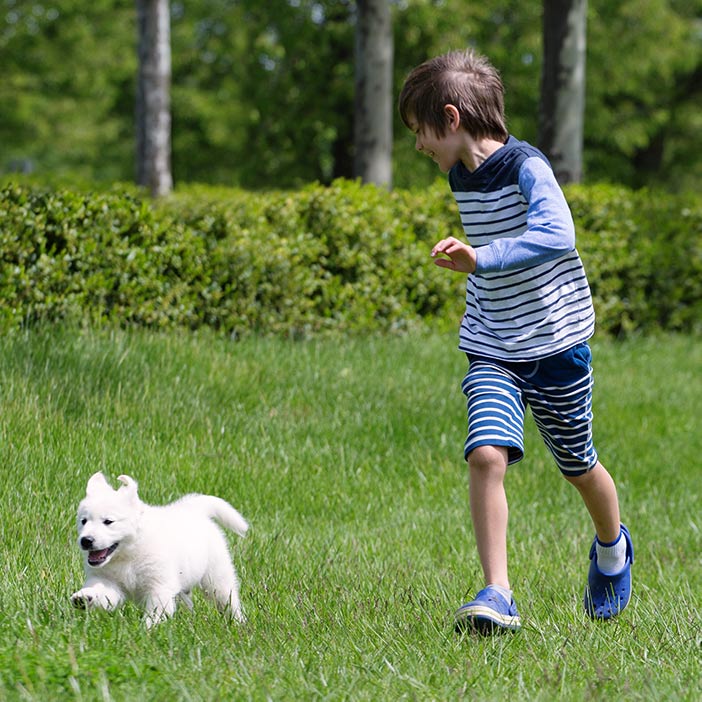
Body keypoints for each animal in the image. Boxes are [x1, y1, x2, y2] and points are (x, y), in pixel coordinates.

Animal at [71, 472, 250, 628]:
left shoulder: (159, 585)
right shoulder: (109, 581)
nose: (86, 540)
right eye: (83, 521)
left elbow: (156, 612)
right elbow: (101, 591)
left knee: (228, 599)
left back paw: (238, 623)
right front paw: (85, 597)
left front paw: (147, 630)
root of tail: (195, 510)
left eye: (108, 521)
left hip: (216, 577)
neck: (128, 555)